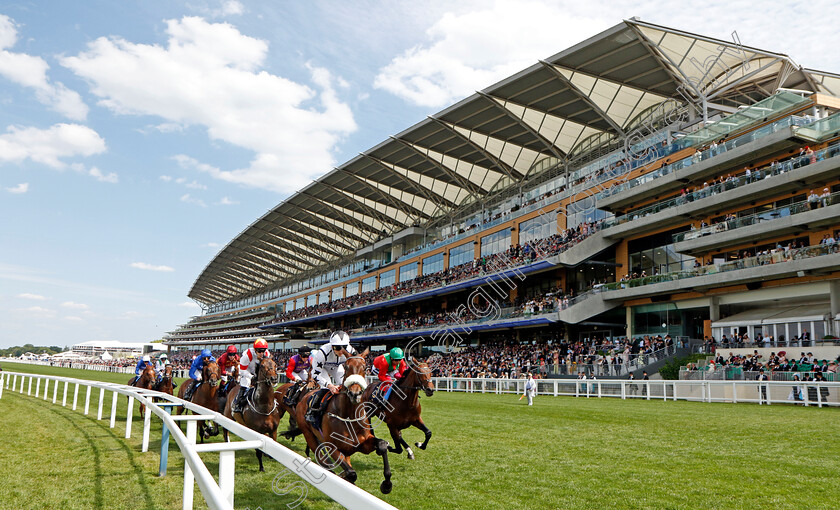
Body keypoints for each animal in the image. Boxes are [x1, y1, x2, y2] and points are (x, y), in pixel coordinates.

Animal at [292, 348, 394, 492]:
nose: (355, 393)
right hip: (309, 435)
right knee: (323, 460)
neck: (349, 417)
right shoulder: (332, 447)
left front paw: (387, 484)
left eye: (364, 367)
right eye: (346, 366)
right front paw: (344, 476)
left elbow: (382, 445)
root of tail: (305, 396)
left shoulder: (363, 444)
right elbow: (351, 473)